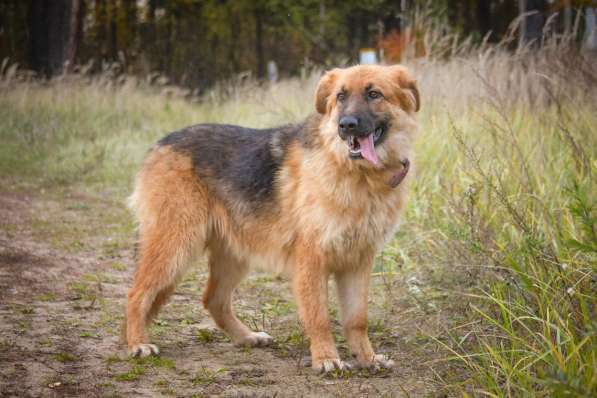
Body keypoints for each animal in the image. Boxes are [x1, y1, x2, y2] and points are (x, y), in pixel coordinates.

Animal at [124, 63, 420, 372]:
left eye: (374, 94)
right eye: (341, 96)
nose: (346, 125)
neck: (358, 174)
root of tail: (161, 144)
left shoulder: (358, 263)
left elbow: (357, 319)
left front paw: (367, 358)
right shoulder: (312, 261)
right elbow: (319, 317)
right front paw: (326, 358)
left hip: (232, 255)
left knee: (213, 300)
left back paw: (246, 337)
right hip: (176, 245)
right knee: (136, 294)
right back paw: (138, 343)